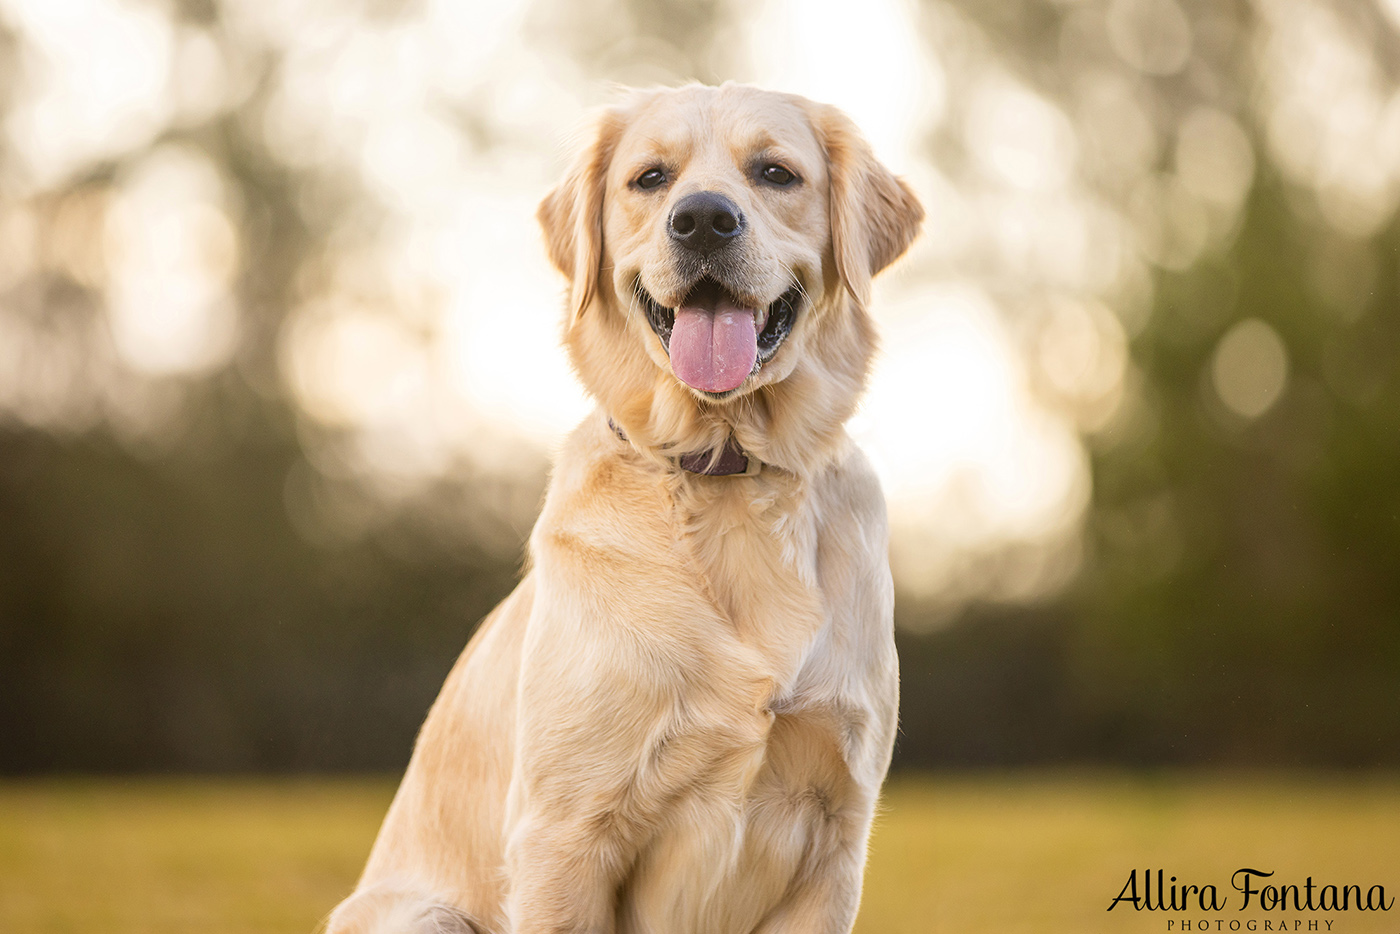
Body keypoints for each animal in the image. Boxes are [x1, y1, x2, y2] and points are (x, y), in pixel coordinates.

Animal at [323, 82, 924, 934]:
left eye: (776, 172)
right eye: (650, 178)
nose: (702, 219)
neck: (725, 470)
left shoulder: (834, 838)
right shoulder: (564, 834)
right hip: (421, 914)